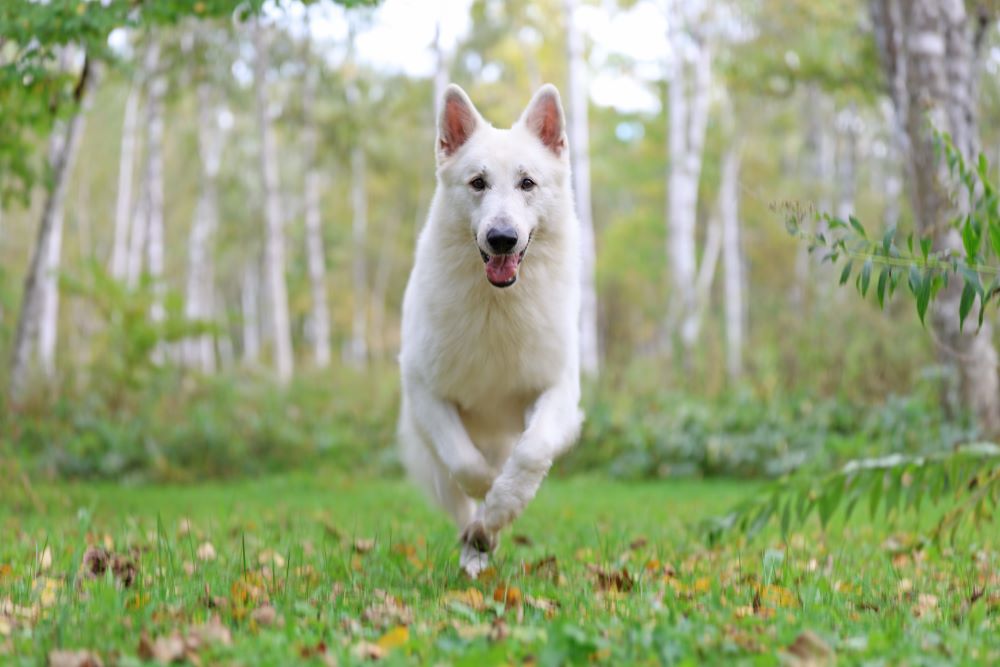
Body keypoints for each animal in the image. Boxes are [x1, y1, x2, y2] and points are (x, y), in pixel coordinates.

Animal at [398, 82, 584, 576]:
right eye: (477, 183)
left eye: (527, 183)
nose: (502, 238)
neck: (497, 307)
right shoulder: (427, 392)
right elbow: (466, 464)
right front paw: (488, 503)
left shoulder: (556, 389)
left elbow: (531, 453)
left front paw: (502, 506)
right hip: (429, 457)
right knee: (458, 498)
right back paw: (475, 545)